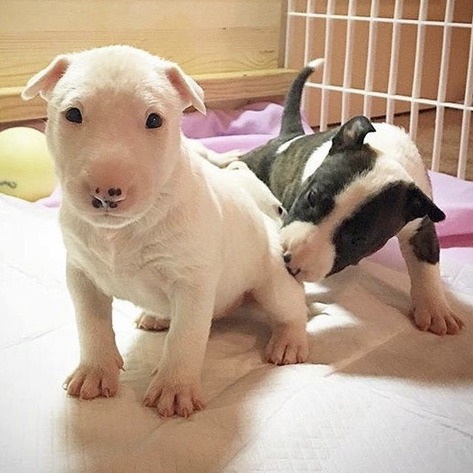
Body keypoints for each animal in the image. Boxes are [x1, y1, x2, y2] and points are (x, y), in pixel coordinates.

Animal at [23, 46, 310, 416]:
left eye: (154, 120)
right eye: (73, 114)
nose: (106, 193)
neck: (121, 232)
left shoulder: (193, 281)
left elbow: (185, 336)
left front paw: (174, 390)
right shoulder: (81, 273)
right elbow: (91, 323)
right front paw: (94, 372)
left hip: (271, 280)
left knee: (293, 308)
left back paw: (290, 342)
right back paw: (156, 317)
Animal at [238, 60, 462, 336]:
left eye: (358, 240)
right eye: (311, 197)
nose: (289, 262)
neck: (392, 155)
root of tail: (290, 136)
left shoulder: (421, 218)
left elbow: (427, 261)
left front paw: (435, 309)